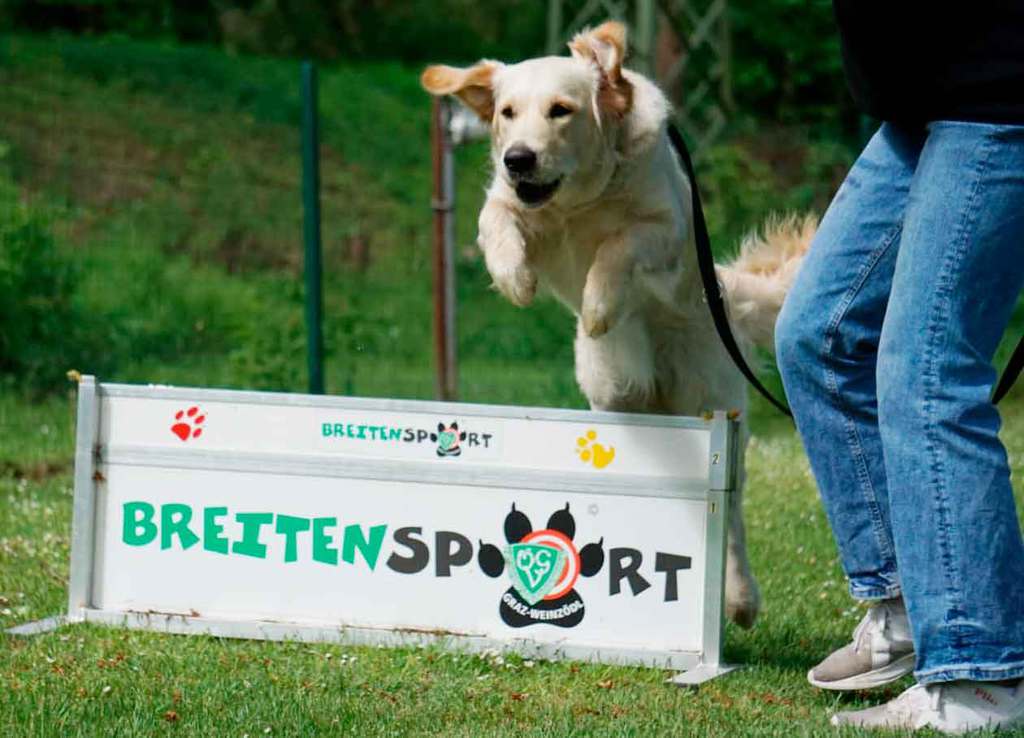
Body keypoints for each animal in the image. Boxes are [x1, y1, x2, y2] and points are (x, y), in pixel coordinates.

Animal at [422, 21, 814, 628]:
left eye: (561, 110)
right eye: (507, 111)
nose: (518, 158)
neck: (578, 199)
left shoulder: (664, 227)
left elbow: (616, 247)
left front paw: (599, 305)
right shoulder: (509, 203)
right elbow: (497, 219)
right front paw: (515, 278)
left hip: (713, 401)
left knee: (731, 514)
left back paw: (740, 598)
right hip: (615, 395)